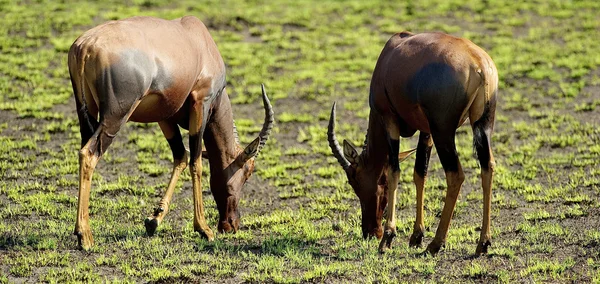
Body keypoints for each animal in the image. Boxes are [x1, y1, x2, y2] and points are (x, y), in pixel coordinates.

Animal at [67, 16, 274, 250]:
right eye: (248, 172)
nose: (231, 225)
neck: (199, 40)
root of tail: (86, 46)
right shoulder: (201, 103)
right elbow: (196, 163)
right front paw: (204, 229)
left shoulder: (165, 114)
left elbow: (181, 156)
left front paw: (153, 220)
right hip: (116, 114)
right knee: (89, 154)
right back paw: (85, 236)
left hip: (87, 112)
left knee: (84, 148)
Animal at [328, 31, 496, 255]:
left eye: (354, 180)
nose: (371, 232)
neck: (389, 54)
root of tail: (479, 64)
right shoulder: (426, 131)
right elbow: (419, 174)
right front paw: (416, 236)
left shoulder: (389, 120)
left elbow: (394, 172)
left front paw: (388, 238)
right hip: (482, 125)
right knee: (487, 167)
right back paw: (482, 243)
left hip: (443, 130)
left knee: (455, 175)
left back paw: (436, 244)